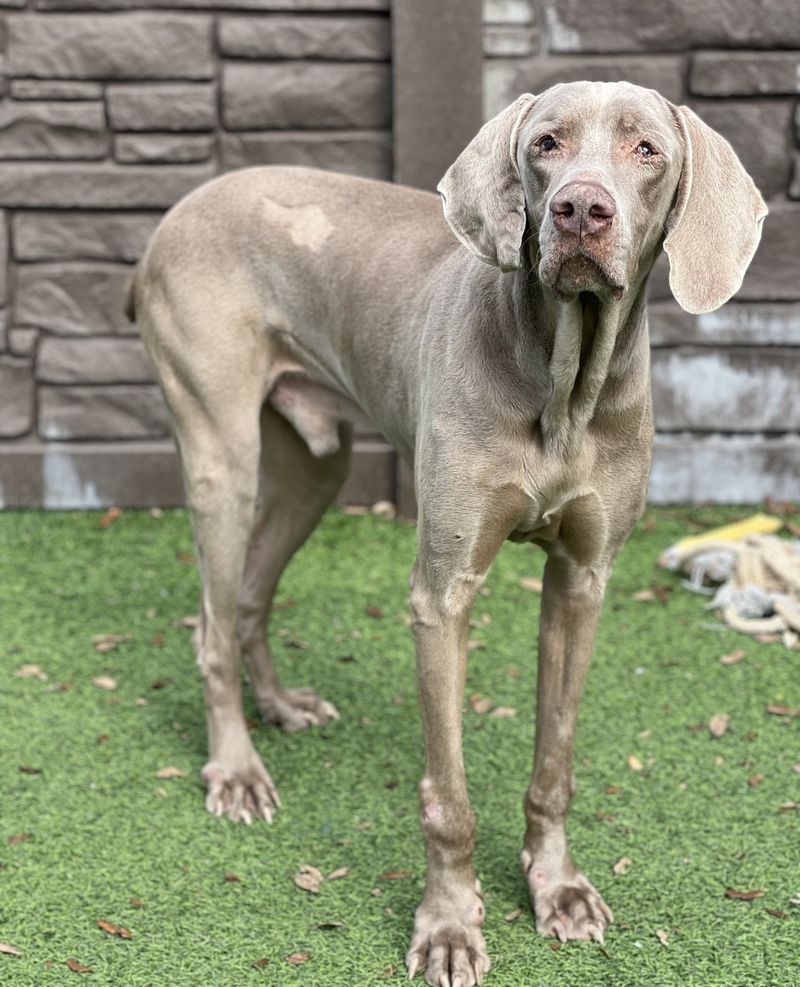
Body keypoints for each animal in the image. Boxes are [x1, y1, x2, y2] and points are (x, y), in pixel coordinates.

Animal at [128, 85, 764, 987]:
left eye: (646, 149)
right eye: (545, 143)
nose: (580, 209)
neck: (564, 385)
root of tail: (176, 212)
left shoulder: (583, 582)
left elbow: (555, 763)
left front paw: (558, 888)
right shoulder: (442, 593)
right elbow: (448, 797)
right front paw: (450, 926)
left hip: (315, 463)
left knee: (249, 595)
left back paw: (282, 705)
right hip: (222, 452)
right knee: (212, 624)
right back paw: (238, 771)